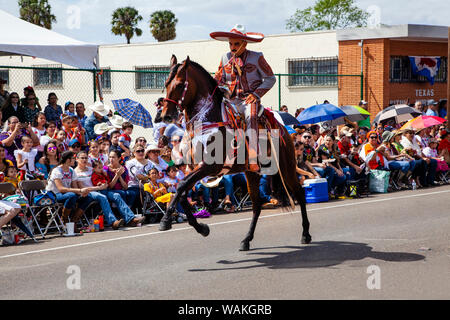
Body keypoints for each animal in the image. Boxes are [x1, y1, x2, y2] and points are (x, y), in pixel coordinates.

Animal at [157, 54, 310, 250]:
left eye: (178, 85)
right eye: (165, 83)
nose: (165, 115)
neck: (206, 120)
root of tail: (284, 129)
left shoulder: (210, 167)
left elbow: (182, 186)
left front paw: (166, 220)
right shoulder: (195, 168)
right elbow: (182, 192)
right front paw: (202, 228)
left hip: (286, 168)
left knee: (299, 194)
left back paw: (305, 234)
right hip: (252, 172)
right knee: (257, 205)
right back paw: (246, 240)